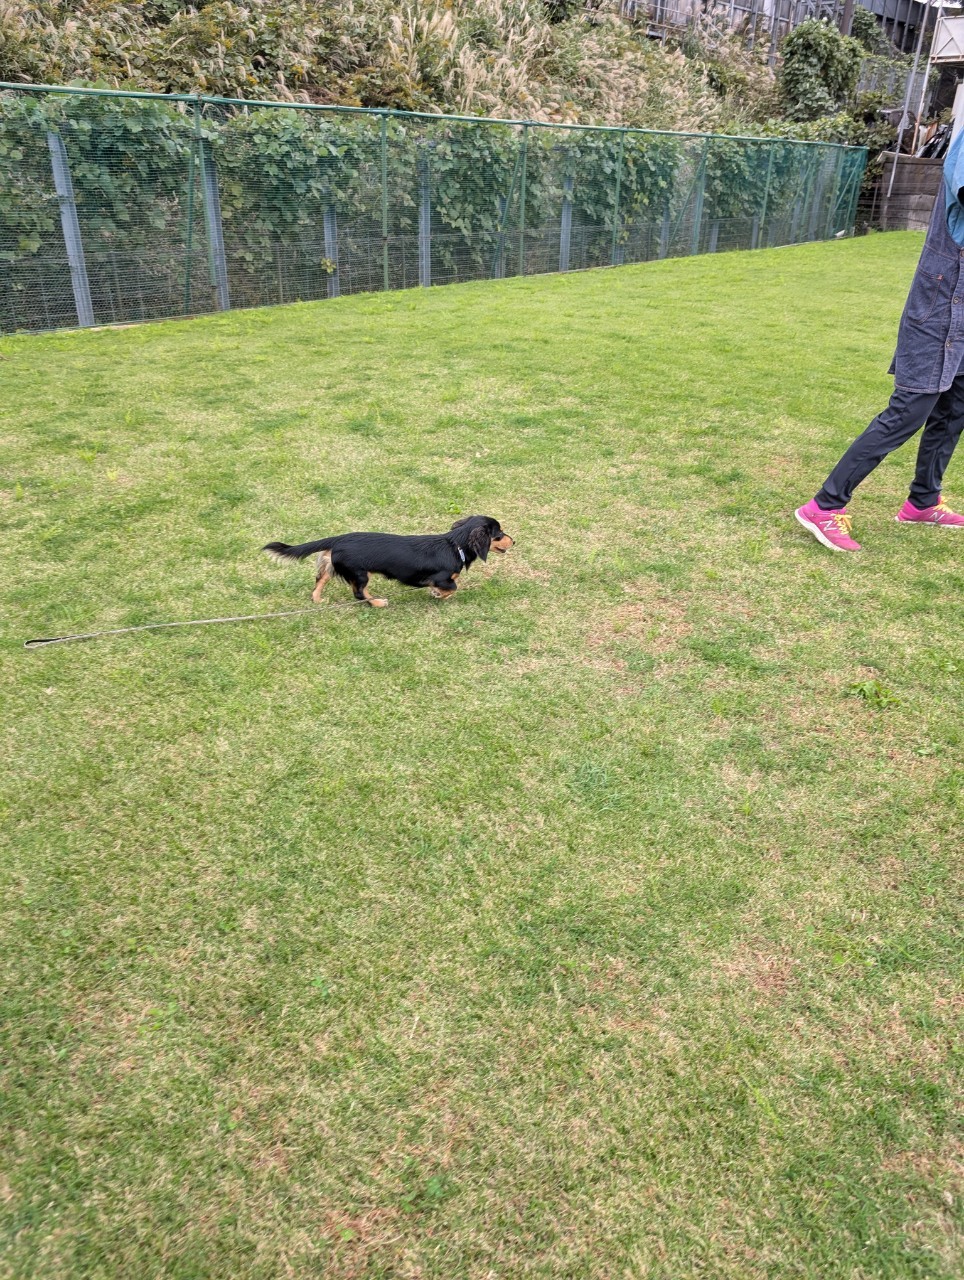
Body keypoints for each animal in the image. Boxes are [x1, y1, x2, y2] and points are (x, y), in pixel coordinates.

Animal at [262, 514, 514, 607]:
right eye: (499, 534)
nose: (514, 541)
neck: (456, 546)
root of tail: (340, 538)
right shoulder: (442, 578)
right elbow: (453, 587)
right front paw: (438, 594)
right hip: (361, 573)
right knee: (359, 593)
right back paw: (377, 602)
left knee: (320, 580)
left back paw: (317, 600)